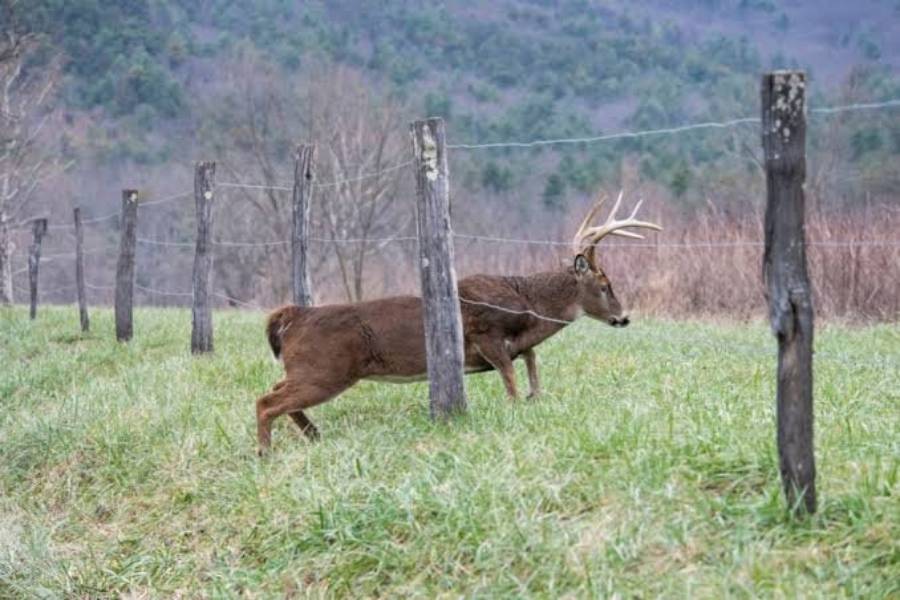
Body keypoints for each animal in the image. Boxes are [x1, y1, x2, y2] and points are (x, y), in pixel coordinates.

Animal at [255, 191, 661, 454]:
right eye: (605, 285)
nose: (624, 317)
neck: (527, 306)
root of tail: (293, 315)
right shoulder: (486, 336)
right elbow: (512, 385)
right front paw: (517, 408)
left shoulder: (515, 346)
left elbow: (532, 369)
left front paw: (535, 396)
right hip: (326, 369)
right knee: (265, 401)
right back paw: (266, 453)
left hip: (308, 368)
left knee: (276, 392)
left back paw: (313, 436)